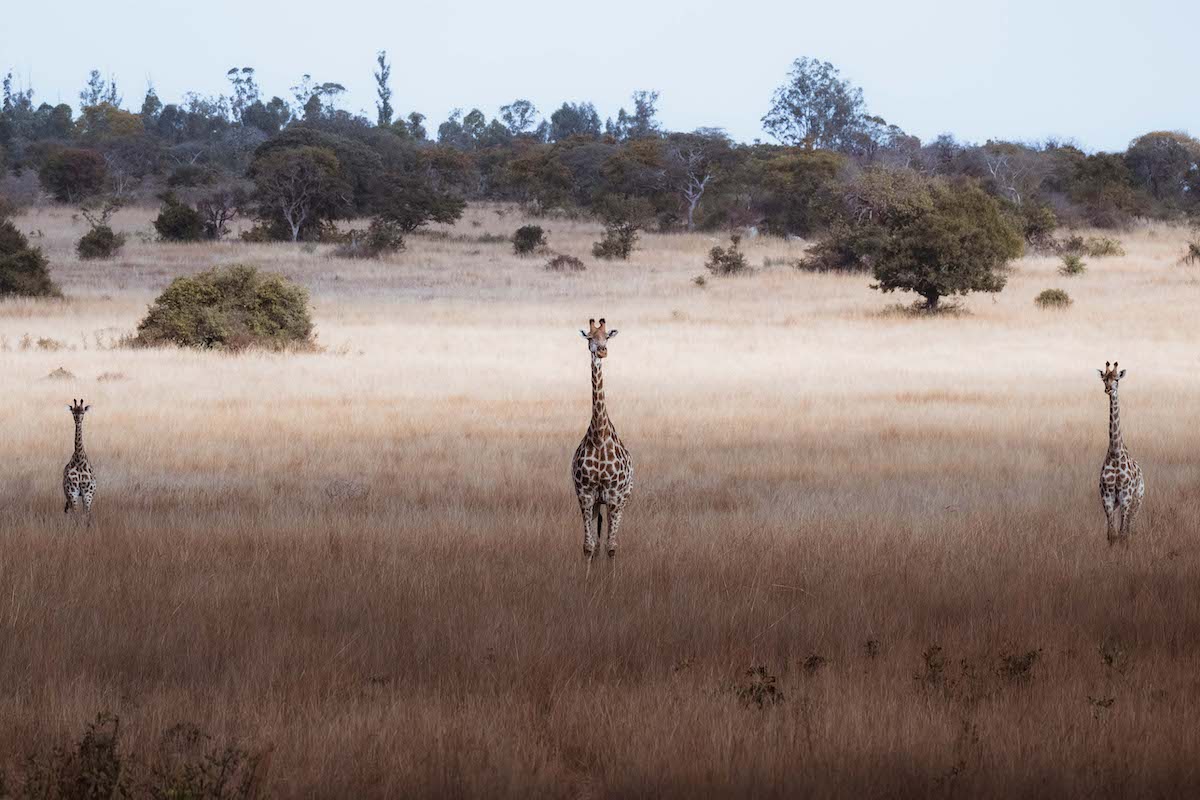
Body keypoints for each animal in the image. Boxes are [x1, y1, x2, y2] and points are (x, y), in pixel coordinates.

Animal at [573, 316, 638, 573]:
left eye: (607, 337)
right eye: (590, 337)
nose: (602, 351)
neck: (599, 435)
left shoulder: (613, 496)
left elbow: (612, 546)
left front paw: (612, 582)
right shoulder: (586, 494)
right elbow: (588, 546)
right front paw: (587, 580)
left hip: (621, 499)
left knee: (610, 541)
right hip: (597, 503)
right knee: (597, 542)